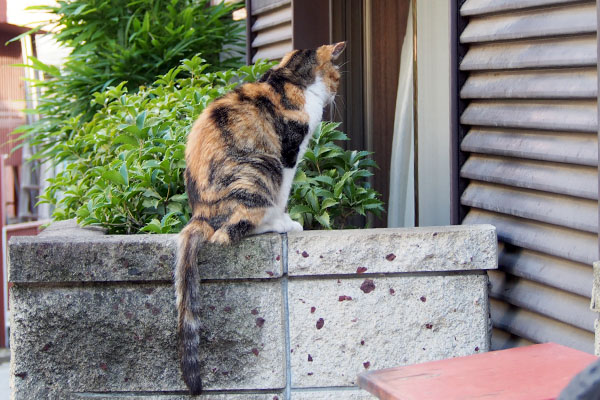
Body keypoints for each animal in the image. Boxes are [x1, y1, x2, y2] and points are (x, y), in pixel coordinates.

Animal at [176, 41, 344, 394]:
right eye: (336, 75)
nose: (336, 92)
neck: (289, 77)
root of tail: (199, 214)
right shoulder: (289, 153)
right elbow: (283, 194)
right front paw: (285, 221)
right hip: (262, 167)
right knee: (228, 232)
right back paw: (271, 225)